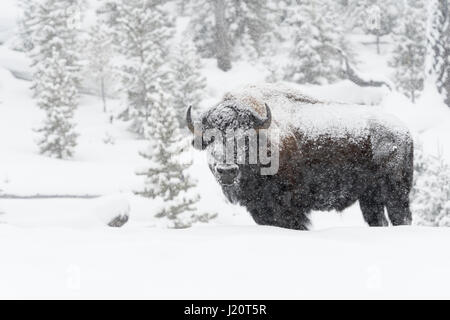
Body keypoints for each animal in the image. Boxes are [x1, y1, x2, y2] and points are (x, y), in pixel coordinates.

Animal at [186, 83, 414, 230]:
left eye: (246, 138)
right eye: (210, 139)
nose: (227, 171)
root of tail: (404, 132)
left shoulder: (289, 208)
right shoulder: (260, 209)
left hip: (395, 193)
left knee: (400, 217)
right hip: (369, 198)